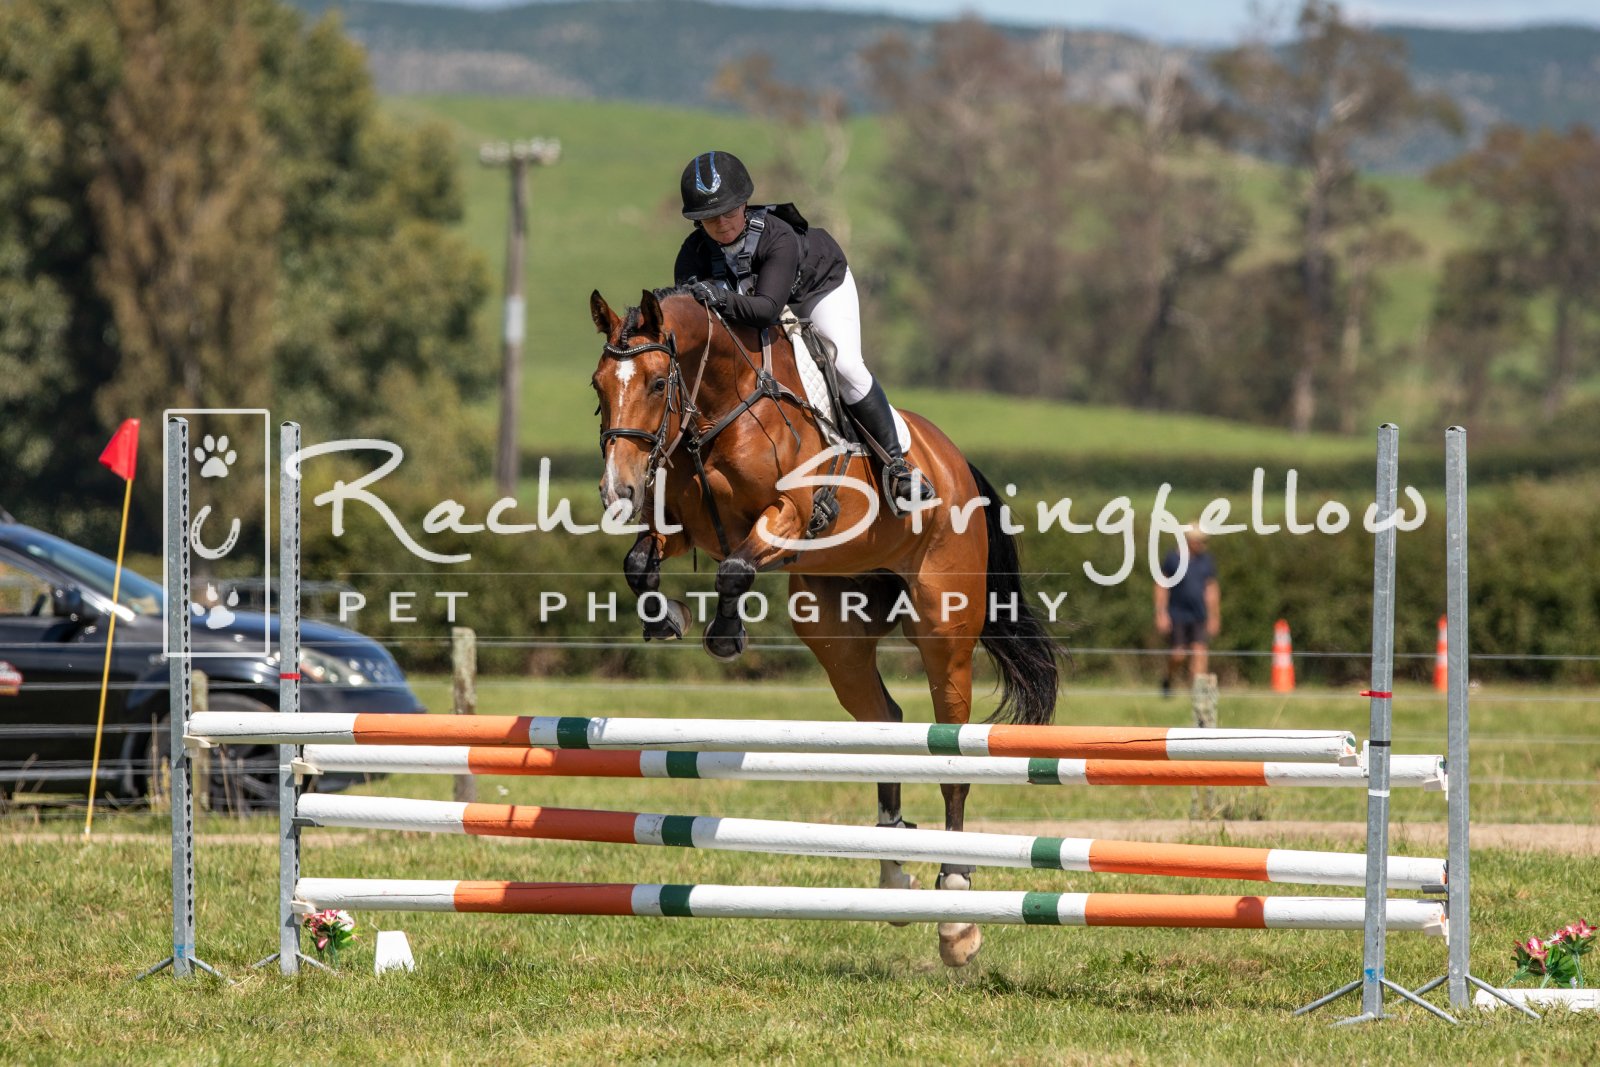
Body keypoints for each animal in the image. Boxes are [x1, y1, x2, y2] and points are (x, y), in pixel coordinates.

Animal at [589, 286, 1061, 966]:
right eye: (599, 385)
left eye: (657, 382)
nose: (617, 490)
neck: (719, 410)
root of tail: (954, 463)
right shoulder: (686, 526)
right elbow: (642, 563)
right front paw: (669, 620)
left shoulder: (794, 513)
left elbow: (734, 569)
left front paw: (724, 637)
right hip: (835, 630)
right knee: (886, 723)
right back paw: (893, 872)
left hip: (944, 631)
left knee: (949, 745)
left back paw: (955, 910)